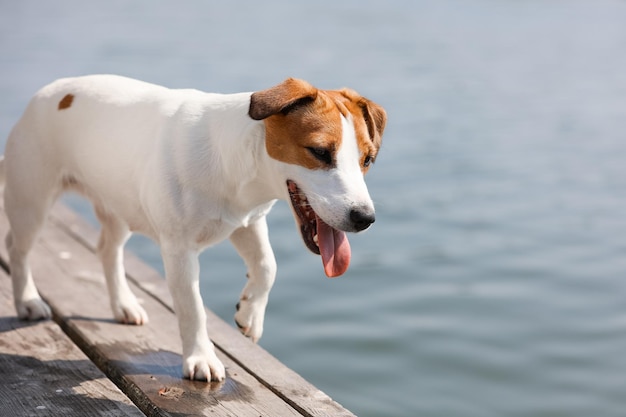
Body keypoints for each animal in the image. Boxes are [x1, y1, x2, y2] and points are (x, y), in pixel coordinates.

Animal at [0, 75, 386, 380]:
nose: (364, 218)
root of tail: (51, 90)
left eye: (368, 160)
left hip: (118, 203)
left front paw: (250, 314)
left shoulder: (247, 223)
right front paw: (201, 359)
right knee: (18, 249)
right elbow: (192, 307)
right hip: (32, 200)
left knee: (108, 250)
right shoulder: (179, 249)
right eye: (320, 152)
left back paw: (123, 305)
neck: (236, 166)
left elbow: (267, 267)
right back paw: (28, 301)